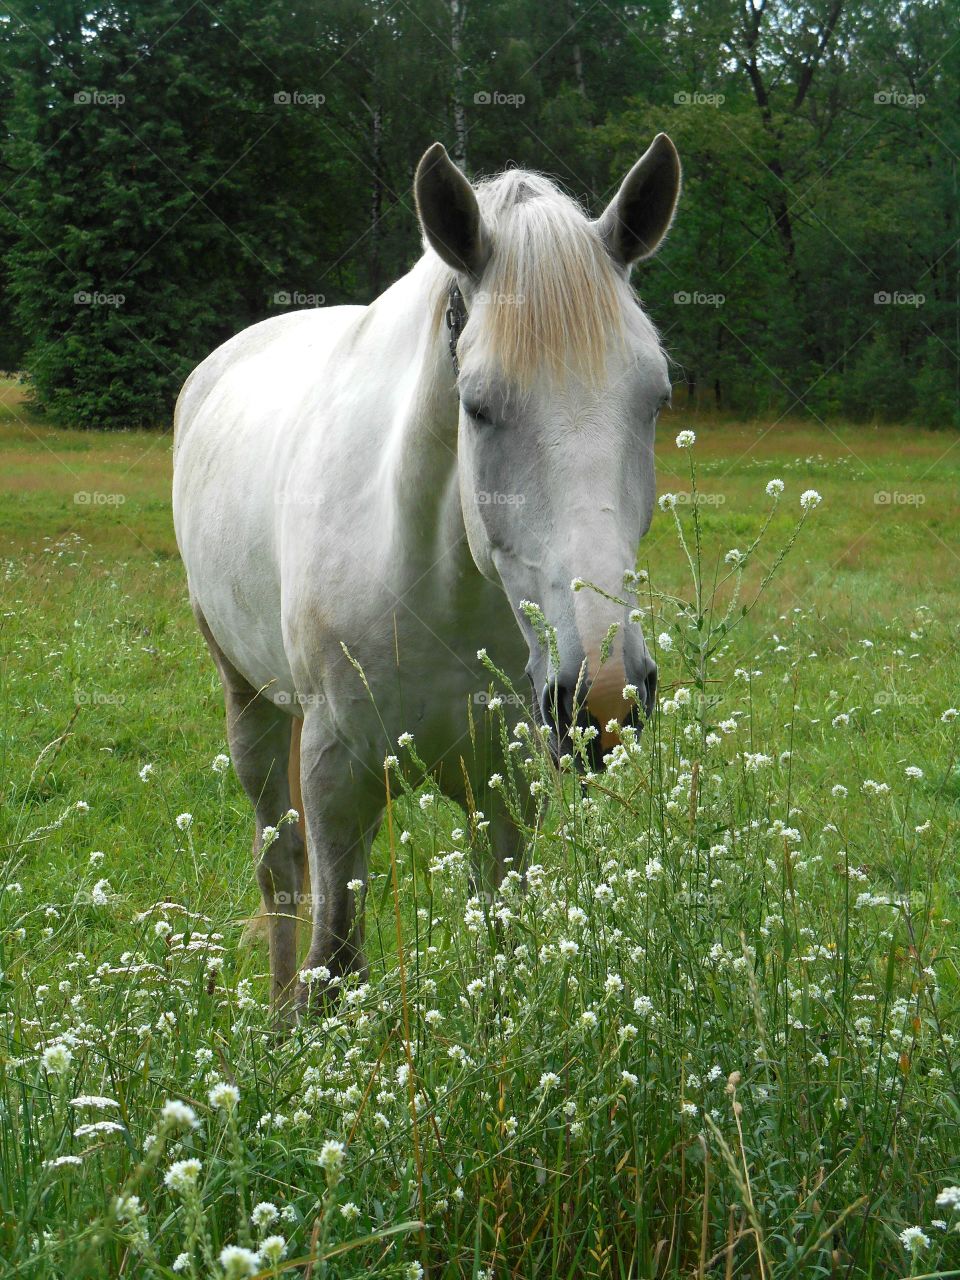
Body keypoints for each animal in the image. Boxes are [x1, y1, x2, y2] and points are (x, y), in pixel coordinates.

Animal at [175, 132, 686, 1008]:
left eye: (654, 399)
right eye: (476, 405)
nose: (605, 697)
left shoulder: (504, 785)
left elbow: (503, 946)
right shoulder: (338, 775)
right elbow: (336, 953)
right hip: (250, 704)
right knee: (281, 870)